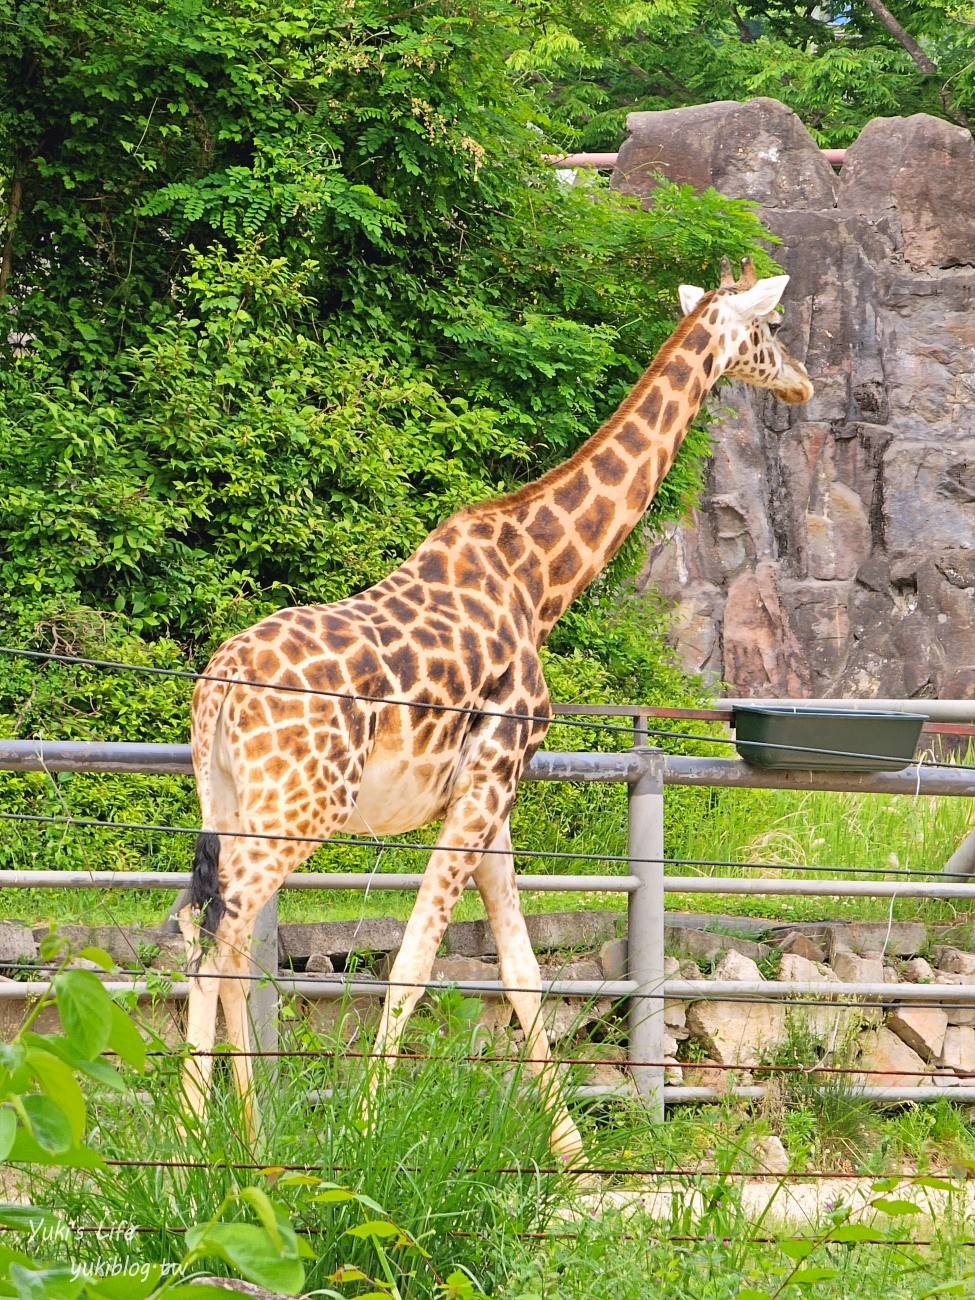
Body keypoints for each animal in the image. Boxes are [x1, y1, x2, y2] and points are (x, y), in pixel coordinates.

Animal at [179, 253, 811, 1159]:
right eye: (773, 327)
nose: (800, 382)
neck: (541, 581)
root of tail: (217, 690)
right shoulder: (490, 778)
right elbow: (413, 960)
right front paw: (365, 1135)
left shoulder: (493, 794)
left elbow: (520, 969)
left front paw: (573, 1157)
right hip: (297, 808)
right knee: (222, 935)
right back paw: (223, 1146)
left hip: (223, 794)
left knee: (200, 930)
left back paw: (224, 1140)